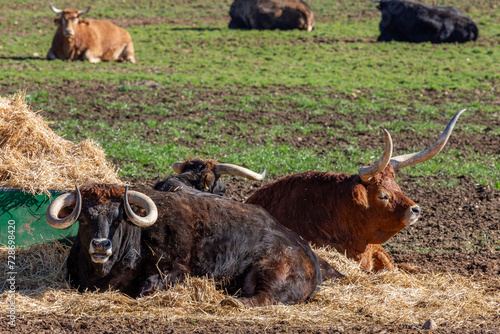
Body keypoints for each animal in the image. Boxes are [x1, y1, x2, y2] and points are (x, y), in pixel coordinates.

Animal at [46, 184, 332, 306]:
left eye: (119, 218)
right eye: (84, 218)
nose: (100, 245)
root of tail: (309, 257)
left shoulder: (176, 271)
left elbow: (146, 288)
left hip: (268, 271)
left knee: (265, 297)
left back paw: (233, 303)